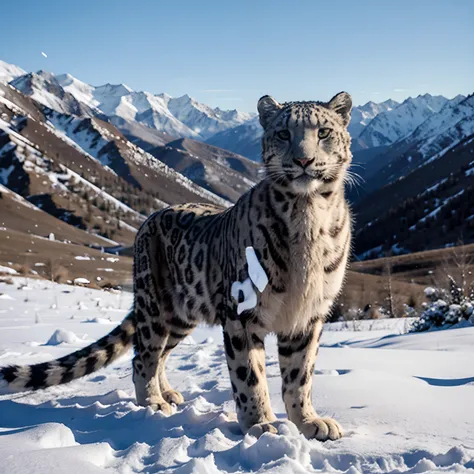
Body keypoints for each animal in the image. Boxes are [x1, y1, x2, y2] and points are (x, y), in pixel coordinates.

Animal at [0, 91, 352, 440]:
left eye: (323, 132)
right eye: (283, 133)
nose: (303, 160)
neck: (307, 216)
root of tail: (149, 219)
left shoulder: (308, 315)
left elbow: (299, 375)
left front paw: (308, 421)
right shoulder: (241, 313)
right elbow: (249, 374)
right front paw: (260, 424)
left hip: (181, 315)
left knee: (162, 354)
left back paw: (167, 393)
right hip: (153, 305)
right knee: (144, 355)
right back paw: (153, 402)